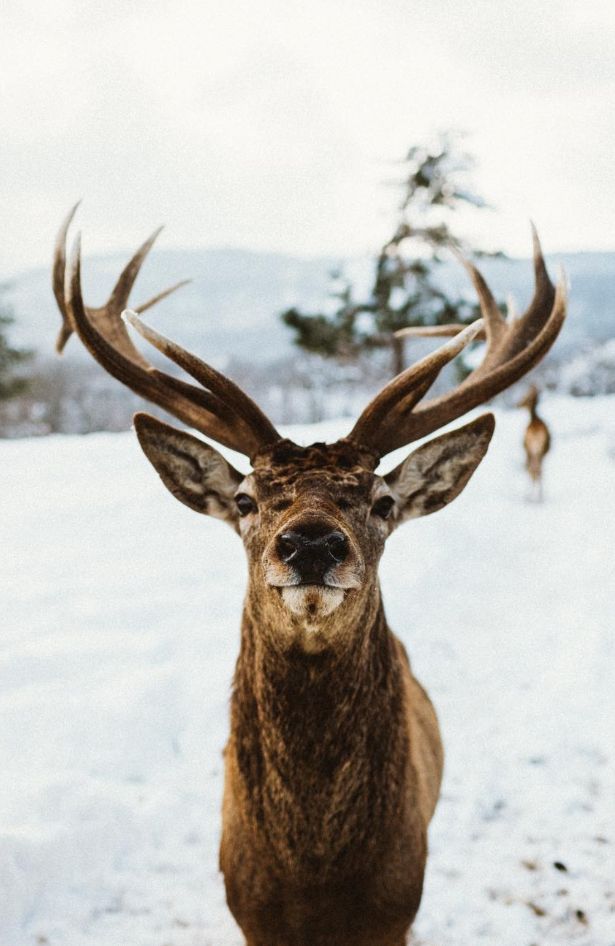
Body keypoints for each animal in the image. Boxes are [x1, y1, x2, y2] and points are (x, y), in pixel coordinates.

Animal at [53, 208, 568, 944]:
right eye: (245, 500)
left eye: (382, 501)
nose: (312, 544)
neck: (314, 877)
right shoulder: (250, 909)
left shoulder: (395, 901)